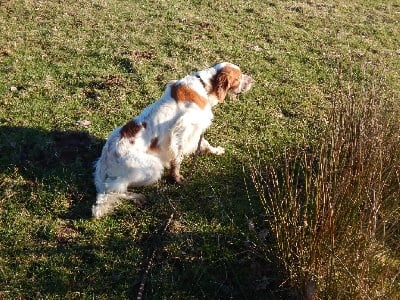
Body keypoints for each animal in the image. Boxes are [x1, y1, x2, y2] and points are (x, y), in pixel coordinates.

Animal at [93, 62, 253, 218]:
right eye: (239, 78)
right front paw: (177, 178)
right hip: (152, 167)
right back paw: (137, 196)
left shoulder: (196, 131)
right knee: (110, 191)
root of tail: (105, 157)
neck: (204, 87)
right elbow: (178, 158)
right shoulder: (182, 128)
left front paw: (216, 151)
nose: (252, 80)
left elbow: (205, 144)